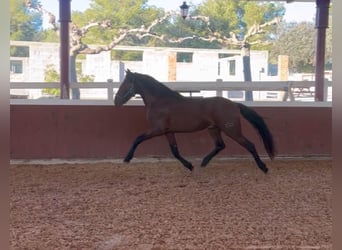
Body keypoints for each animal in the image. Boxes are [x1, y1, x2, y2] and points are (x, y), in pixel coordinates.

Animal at [114, 69, 276, 173]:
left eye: (125, 85)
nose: (116, 101)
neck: (160, 101)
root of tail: (234, 104)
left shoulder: (156, 130)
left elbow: (137, 139)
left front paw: (127, 158)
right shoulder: (168, 131)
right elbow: (175, 151)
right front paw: (189, 165)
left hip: (231, 129)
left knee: (250, 145)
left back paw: (263, 167)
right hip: (214, 129)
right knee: (220, 145)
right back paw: (204, 162)